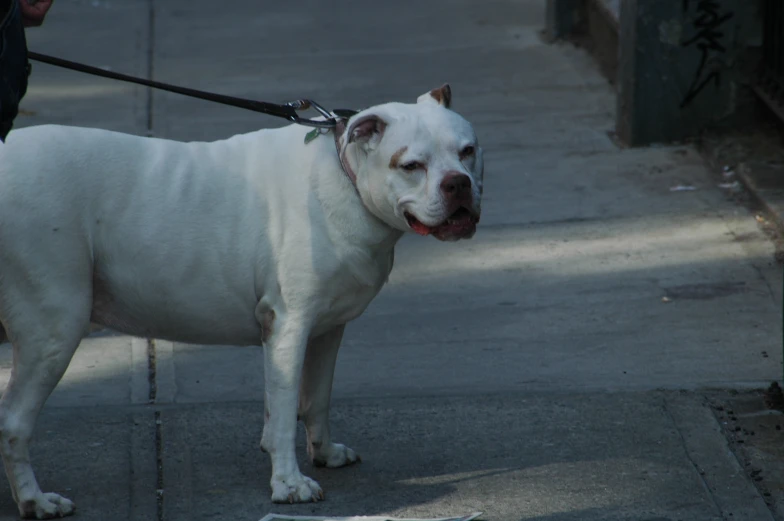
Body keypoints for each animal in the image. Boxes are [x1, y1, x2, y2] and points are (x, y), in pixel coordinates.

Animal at [0, 84, 484, 516]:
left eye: (468, 151)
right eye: (411, 165)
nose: (459, 185)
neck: (345, 179)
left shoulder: (327, 329)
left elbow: (316, 398)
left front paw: (324, 453)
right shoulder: (289, 327)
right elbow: (286, 410)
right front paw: (289, 485)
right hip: (54, 330)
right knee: (14, 423)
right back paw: (36, 501)